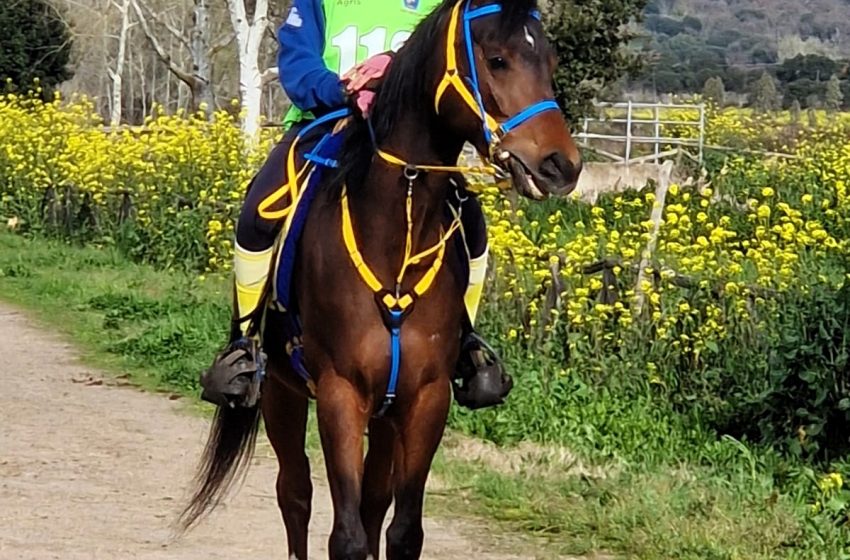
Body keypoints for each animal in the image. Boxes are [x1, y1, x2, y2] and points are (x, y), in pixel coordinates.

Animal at [182, 0, 580, 556]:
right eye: (497, 59)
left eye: (551, 60)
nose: (562, 165)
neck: (395, 236)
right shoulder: (340, 394)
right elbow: (345, 534)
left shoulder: (425, 398)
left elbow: (401, 528)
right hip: (281, 391)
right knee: (295, 493)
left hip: (386, 415)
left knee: (372, 502)